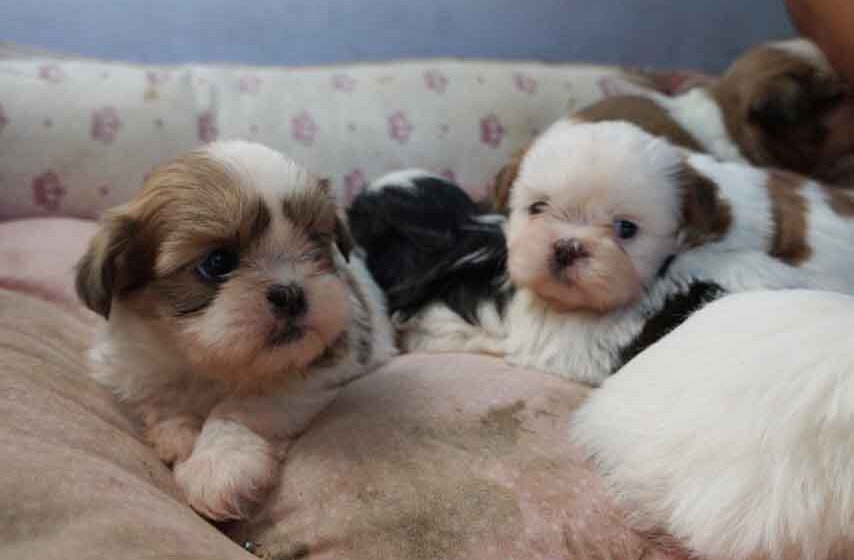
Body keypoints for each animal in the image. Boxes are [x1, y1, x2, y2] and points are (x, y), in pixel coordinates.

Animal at [75, 140, 396, 520]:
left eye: (316, 244)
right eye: (217, 262)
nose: (290, 293)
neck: (204, 364)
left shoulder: (322, 368)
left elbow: (239, 407)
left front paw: (218, 465)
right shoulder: (131, 368)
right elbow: (157, 397)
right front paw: (177, 435)